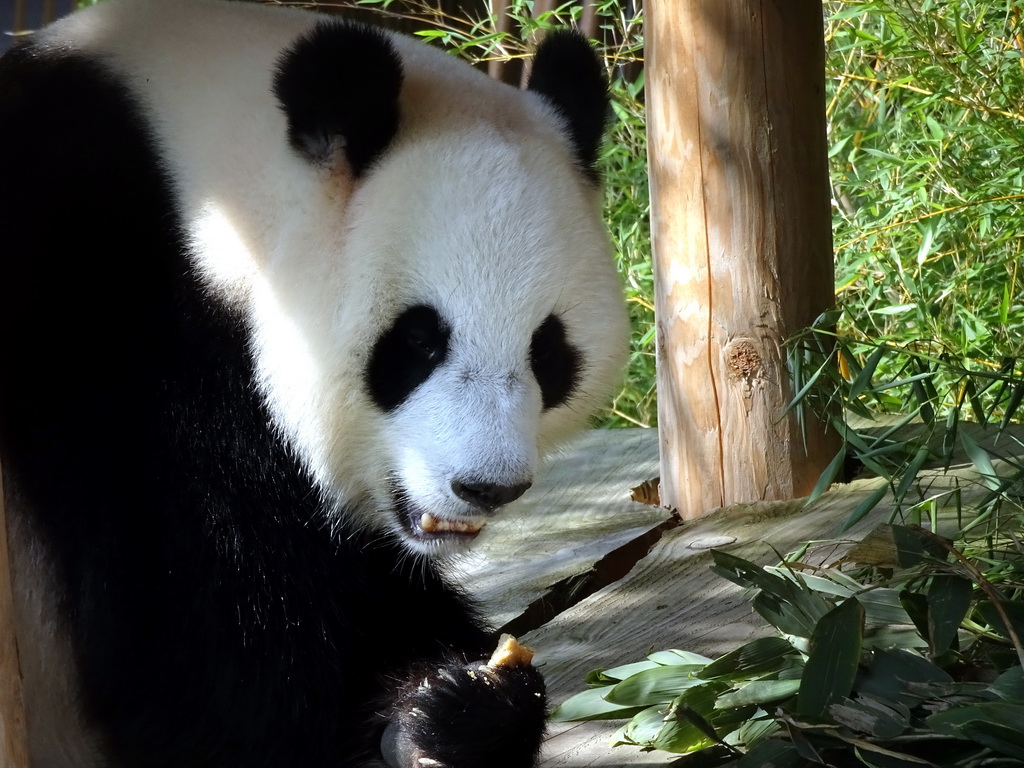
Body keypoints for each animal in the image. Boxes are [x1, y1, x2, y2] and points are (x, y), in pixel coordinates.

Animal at [0, 0, 626, 765]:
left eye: (549, 351)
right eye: (418, 340)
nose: (487, 487)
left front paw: (456, 704)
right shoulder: (115, 332)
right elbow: (205, 641)